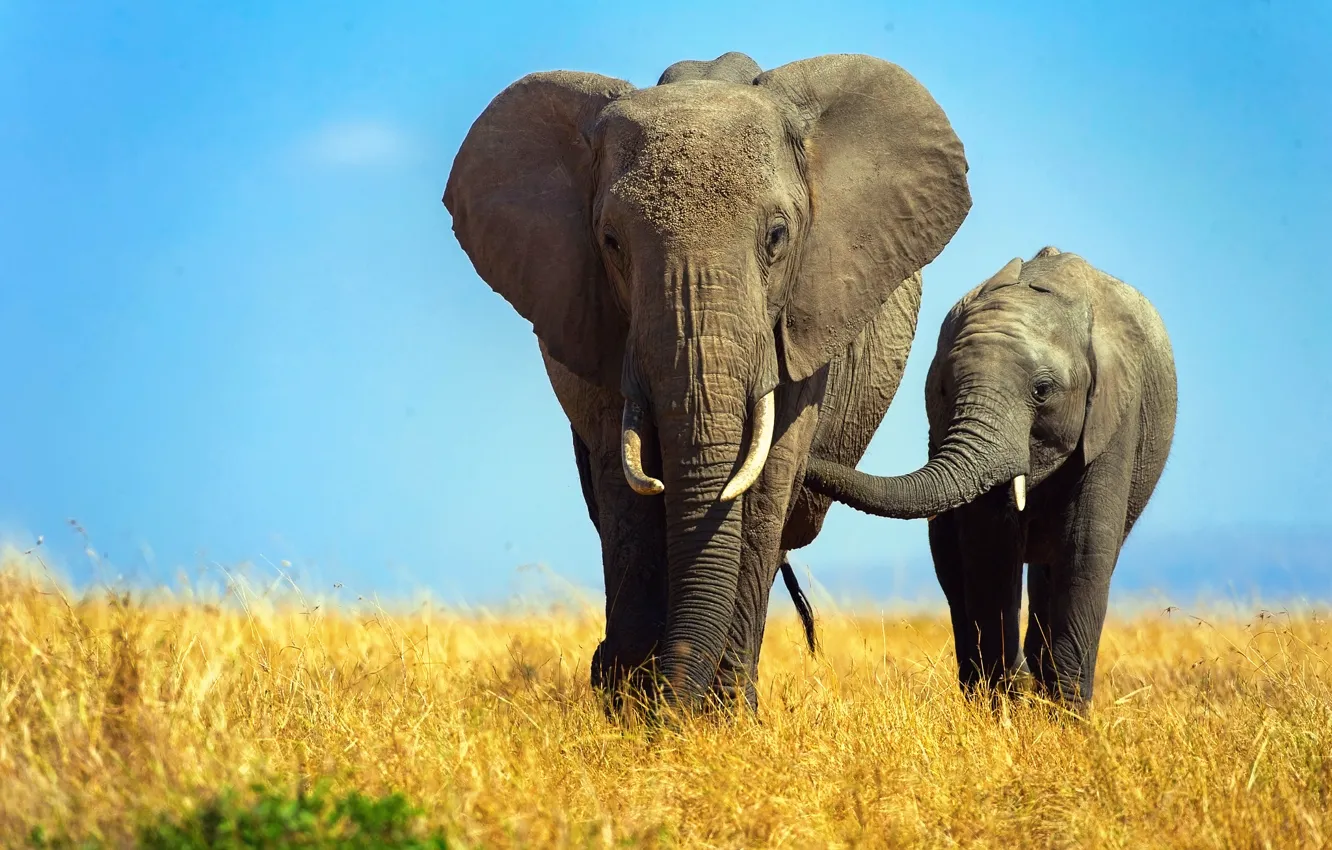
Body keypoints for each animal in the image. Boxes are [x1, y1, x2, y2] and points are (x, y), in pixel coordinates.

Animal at [442, 51, 972, 713]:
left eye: (777, 236)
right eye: (611, 242)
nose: (670, 697)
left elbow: (765, 483)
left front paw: (717, 717)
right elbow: (626, 489)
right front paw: (634, 708)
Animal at [803, 246, 1178, 711]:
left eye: (1042, 391)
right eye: (943, 389)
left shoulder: (1115, 414)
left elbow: (1084, 546)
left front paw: (1063, 716)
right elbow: (991, 547)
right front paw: (1005, 706)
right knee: (954, 570)